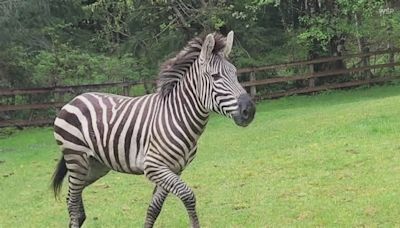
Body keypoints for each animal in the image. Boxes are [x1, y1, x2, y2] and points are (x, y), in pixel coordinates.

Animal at [51, 31, 255, 227]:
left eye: (235, 73)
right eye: (215, 77)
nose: (250, 111)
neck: (177, 116)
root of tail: (74, 99)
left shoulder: (174, 169)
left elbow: (154, 209)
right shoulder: (154, 166)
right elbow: (188, 195)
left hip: (95, 165)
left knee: (72, 198)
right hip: (76, 158)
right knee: (72, 202)